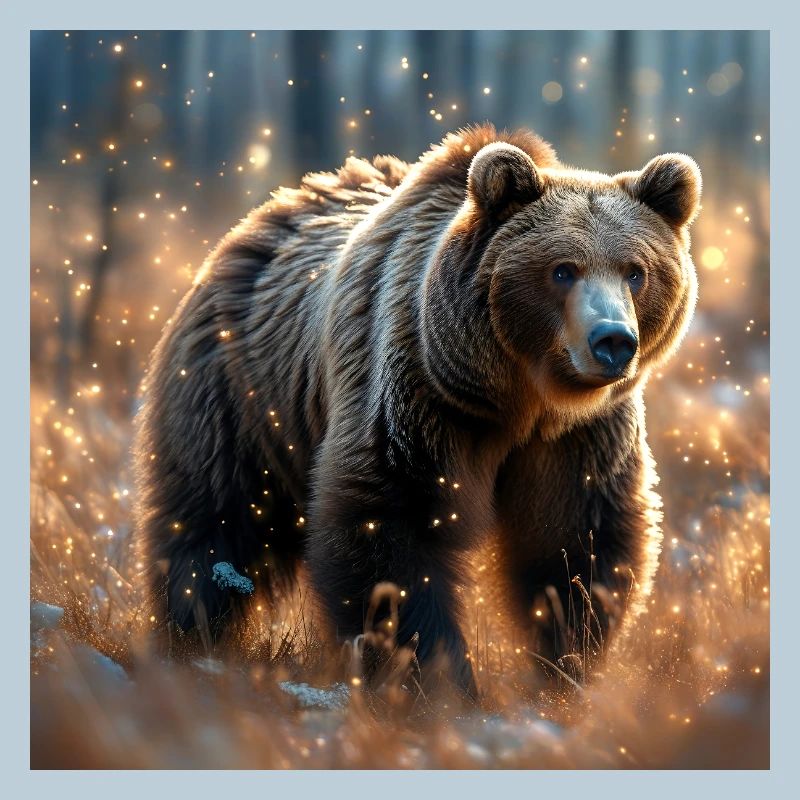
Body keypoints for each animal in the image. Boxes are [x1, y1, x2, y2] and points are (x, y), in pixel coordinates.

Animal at [134, 124, 700, 700]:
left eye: (636, 272)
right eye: (562, 270)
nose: (612, 341)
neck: (516, 395)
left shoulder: (577, 436)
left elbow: (574, 539)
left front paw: (565, 666)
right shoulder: (416, 400)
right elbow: (386, 529)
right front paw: (439, 678)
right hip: (240, 396)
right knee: (214, 519)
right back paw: (191, 636)